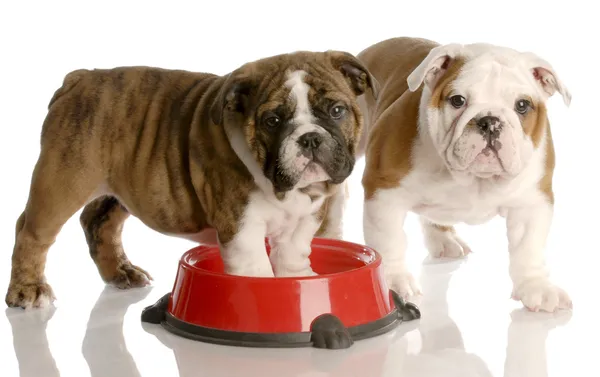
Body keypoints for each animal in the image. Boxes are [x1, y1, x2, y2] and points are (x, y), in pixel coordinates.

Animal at [356, 37, 572, 312]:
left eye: (522, 105)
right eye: (457, 100)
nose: (490, 121)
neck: (474, 179)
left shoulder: (531, 202)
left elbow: (528, 247)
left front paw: (537, 287)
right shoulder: (384, 192)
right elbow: (389, 240)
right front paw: (392, 281)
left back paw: (444, 239)